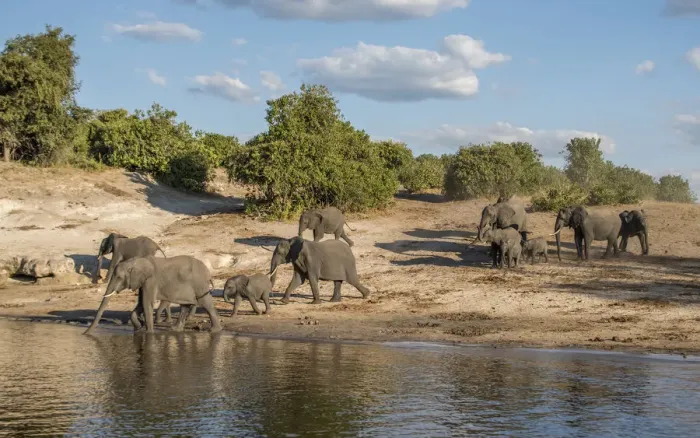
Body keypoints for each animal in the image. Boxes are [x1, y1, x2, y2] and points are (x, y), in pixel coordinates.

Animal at [83, 255, 222, 334]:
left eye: (119, 277)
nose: (85, 334)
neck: (134, 262)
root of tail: (208, 273)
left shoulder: (151, 280)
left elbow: (146, 302)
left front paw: (149, 333)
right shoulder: (142, 281)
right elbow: (140, 303)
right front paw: (139, 328)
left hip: (199, 284)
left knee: (205, 303)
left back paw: (214, 330)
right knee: (185, 305)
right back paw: (175, 330)